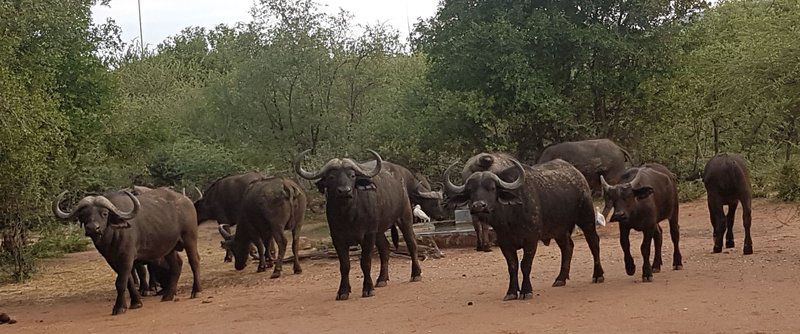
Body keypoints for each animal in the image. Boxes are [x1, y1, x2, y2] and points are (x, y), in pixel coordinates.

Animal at [52, 188, 200, 316]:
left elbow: (120, 282)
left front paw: (119, 307)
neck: (112, 235)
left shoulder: (127, 257)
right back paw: (168, 295)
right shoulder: (113, 260)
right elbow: (128, 281)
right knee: (177, 264)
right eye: (83, 215)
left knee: (194, 261)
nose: (93, 228)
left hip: (190, 237)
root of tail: (187, 200)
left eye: (104, 213)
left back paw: (196, 291)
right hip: (169, 247)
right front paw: (135, 302)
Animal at [296, 149, 424, 300]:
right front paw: (343, 291)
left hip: (405, 217)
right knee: (385, 248)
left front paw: (368, 288)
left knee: (411, 243)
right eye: (331, 177)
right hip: (379, 231)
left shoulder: (368, 235)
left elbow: (365, 262)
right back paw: (381, 279)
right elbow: (344, 265)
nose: (344, 191)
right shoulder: (337, 238)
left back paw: (416, 274)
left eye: (352, 175)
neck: (349, 215)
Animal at [444, 159, 608, 300]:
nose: (478, 206)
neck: (509, 218)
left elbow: (525, 265)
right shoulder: (504, 243)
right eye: (470, 190)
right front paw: (511, 292)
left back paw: (598, 275)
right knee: (567, 247)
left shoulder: (531, 241)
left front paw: (526, 290)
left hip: (586, 218)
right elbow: (512, 266)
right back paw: (560, 278)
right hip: (559, 230)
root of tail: (578, 175)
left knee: (594, 242)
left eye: (492, 188)